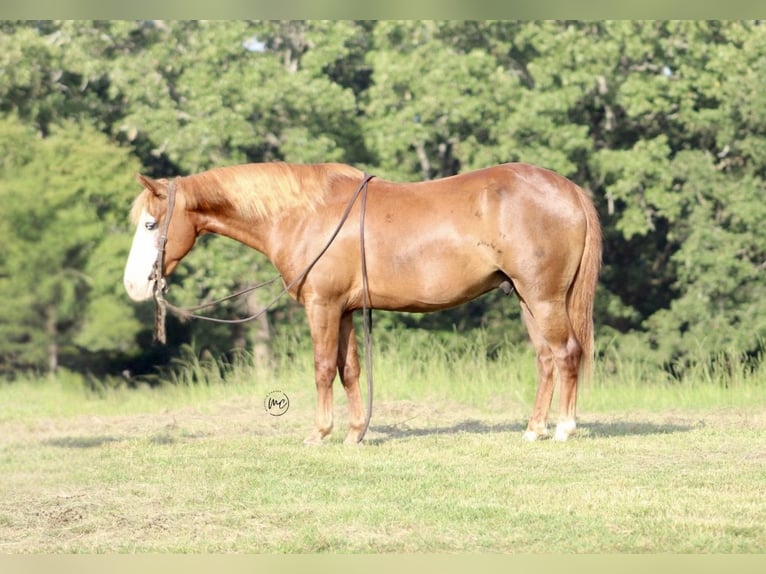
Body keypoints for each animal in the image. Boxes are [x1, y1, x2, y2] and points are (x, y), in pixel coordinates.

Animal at [123, 162, 601, 444]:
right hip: (526, 298)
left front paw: (319, 433)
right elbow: (348, 369)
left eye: (150, 224)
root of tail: (568, 189)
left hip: (543, 298)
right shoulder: (347, 310)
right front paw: (355, 433)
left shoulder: (322, 306)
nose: (132, 285)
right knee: (545, 359)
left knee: (565, 353)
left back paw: (563, 428)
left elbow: (321, 369)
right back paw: (534, 429)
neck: (306, 214)